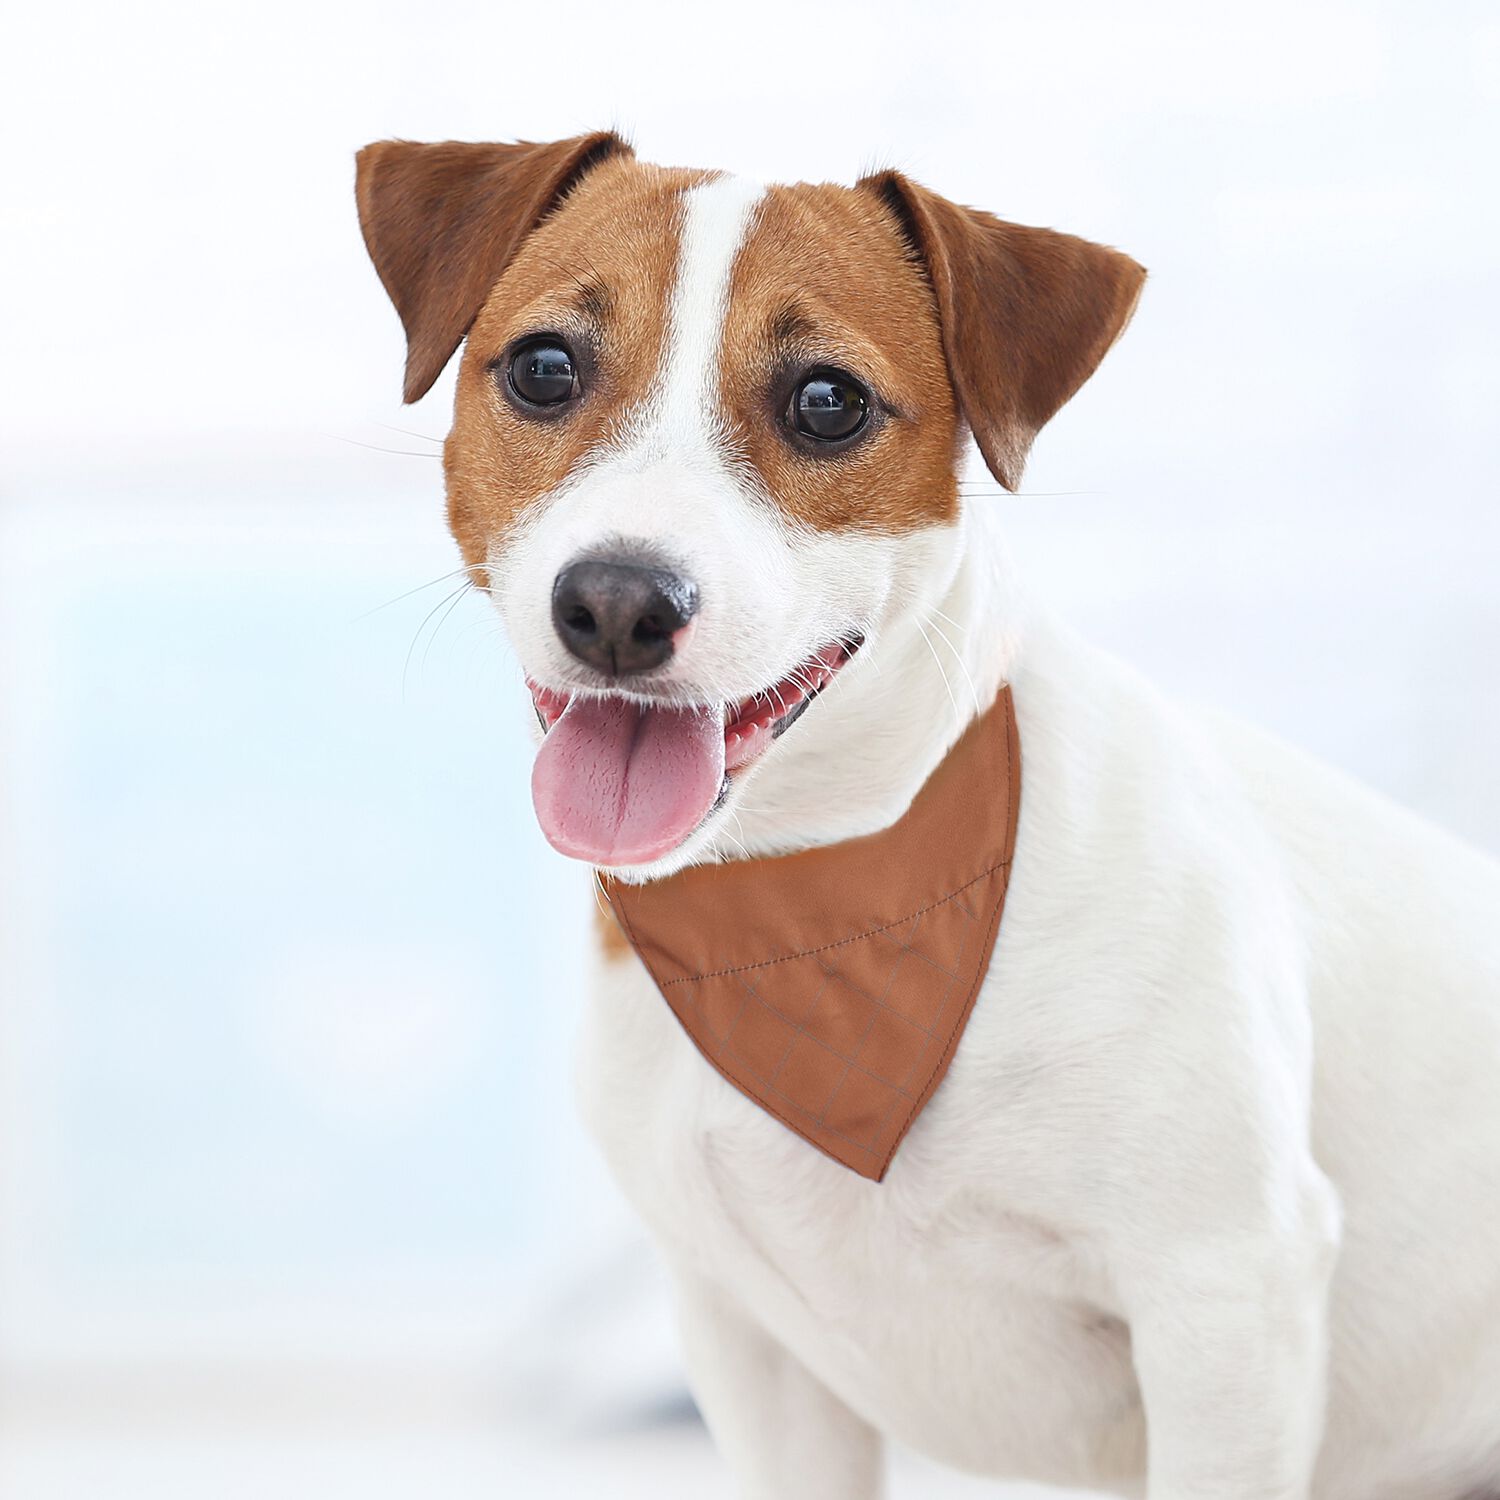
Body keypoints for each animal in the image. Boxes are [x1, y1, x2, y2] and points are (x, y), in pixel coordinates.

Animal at [357, 132, 1500, 1500]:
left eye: (828, 401)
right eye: (543, 368)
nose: (620, 605)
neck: (815, 897)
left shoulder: (1228, 1299)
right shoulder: (753, 1349)